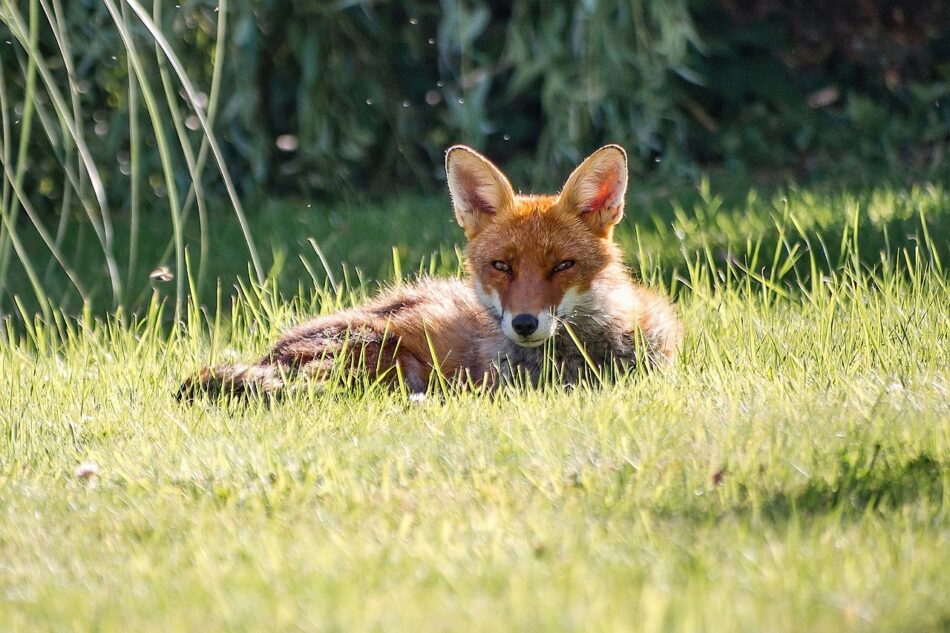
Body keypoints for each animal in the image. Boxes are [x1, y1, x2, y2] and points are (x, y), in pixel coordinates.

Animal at [178, 146, 680, 398]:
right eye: (501, 266)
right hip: (391, 356)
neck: (585, 357)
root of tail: (270, 353)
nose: (524, 323)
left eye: (562, 266)